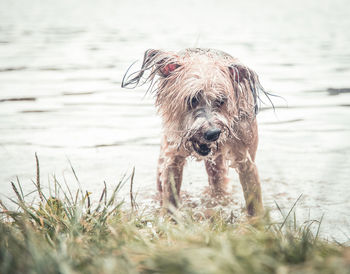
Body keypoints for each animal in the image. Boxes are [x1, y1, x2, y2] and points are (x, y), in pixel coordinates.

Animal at [120, 48, 270, 216]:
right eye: (192, 99)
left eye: (221, 100)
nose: (213, 133)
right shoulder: (172, 158)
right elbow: (170, 197)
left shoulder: (246, 161)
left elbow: (253, 200)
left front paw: (256, 220)